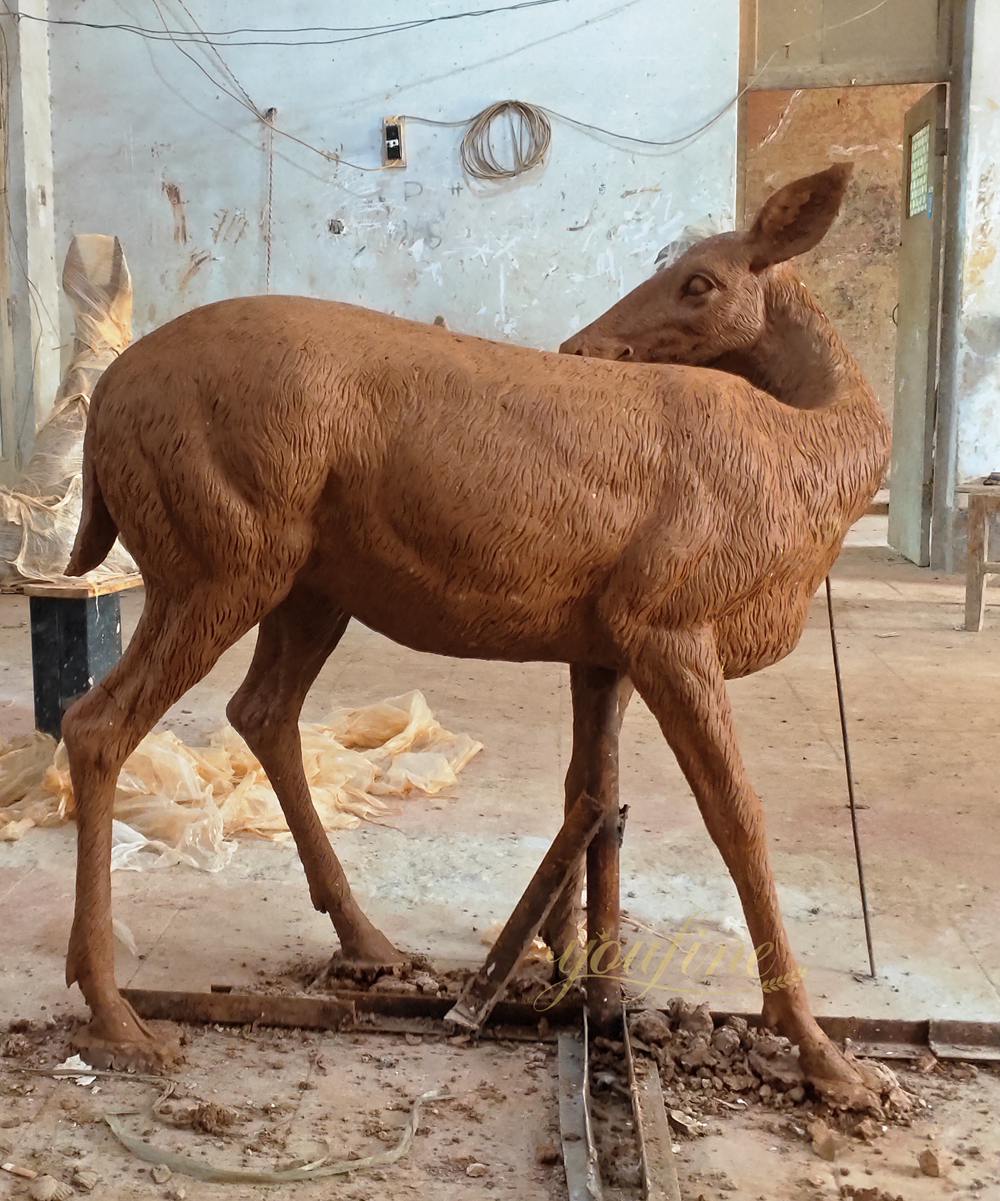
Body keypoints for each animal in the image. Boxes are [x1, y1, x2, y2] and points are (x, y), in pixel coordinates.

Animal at [61, 162, 889, 1110]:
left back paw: (366, 938)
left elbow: (588, 792)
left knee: (261, 709)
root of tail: (103, 406)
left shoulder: (605, 638)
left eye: (699, 280)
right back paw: (114, 1009)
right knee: (99, 722)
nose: (580, 346)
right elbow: (737, 817)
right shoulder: (668, 618)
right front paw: (824, 1053)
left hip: (309, 581)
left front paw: (573, 967)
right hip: (218, 552)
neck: (806, 469)